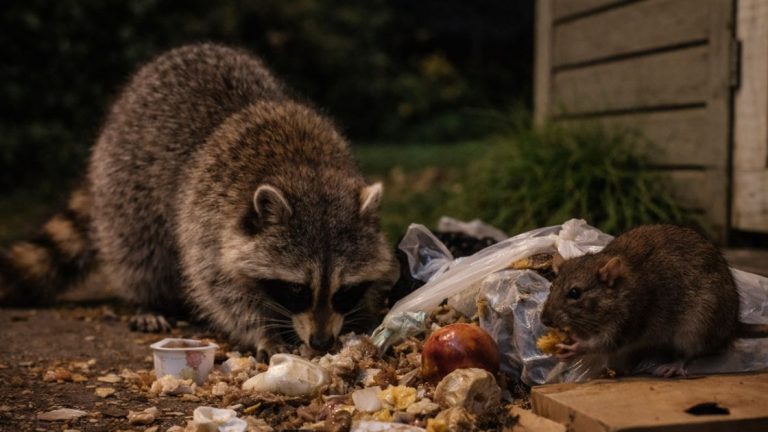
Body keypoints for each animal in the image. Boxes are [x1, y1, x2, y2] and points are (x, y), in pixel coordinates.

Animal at [0, 44, 397, 358]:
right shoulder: (208, 217)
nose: (321, 342)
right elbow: (219, 288)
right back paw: (148, 298)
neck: (305, 168)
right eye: (298, 290)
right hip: (124, 180)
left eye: (344, 291)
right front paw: (262, 329)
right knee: (139, 249)